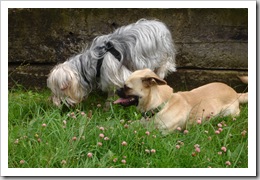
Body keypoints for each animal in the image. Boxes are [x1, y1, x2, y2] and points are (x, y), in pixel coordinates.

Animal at [114, 68, 248, 134]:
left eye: (126, 87)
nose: (117, 89)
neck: (161, 106)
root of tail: (236, 93)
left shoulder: (162, 132)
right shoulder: (140, 123)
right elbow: (130, 124)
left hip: (227, 113)